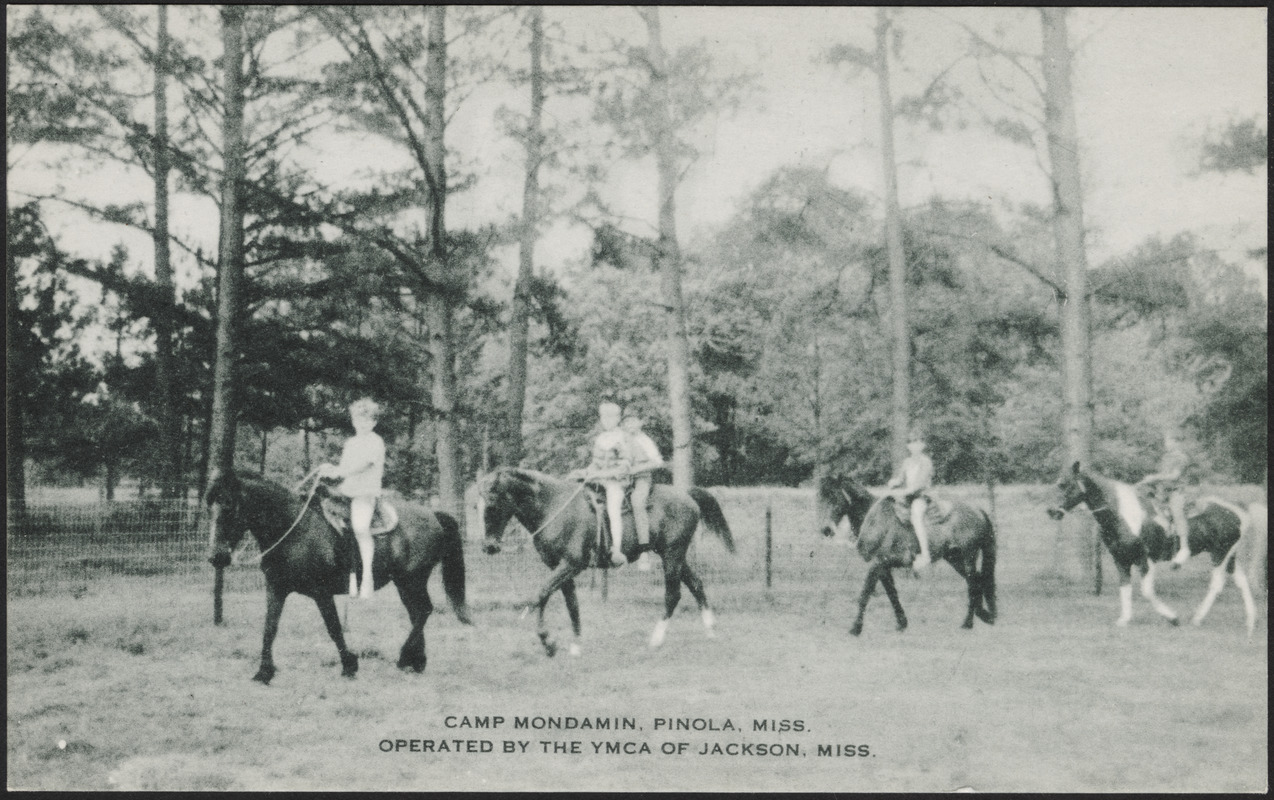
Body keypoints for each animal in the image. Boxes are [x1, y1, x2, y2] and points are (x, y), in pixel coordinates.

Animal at [206, 471, 471, 682]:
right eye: (211, 508)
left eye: (228, 506)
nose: (216, 557)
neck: (294, 530)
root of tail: (433, 515)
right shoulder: (276, 588)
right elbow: (270, 628)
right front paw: (263, 672)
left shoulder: (321, 593)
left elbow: (333, 627)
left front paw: (349, 666)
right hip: (404, 583)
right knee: (416, 613)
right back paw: (417, 661)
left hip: (412, 580)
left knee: (424, 611)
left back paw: (405, 658)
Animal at [479, 468, 738, 657]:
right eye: (477, 506)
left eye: (491, 505)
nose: (489, 546)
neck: (553, 506)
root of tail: (686, 495)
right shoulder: (559, 567)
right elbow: (570, 603)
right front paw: (575, 644)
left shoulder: (571, 564)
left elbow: (541, 593)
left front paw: (548, 642)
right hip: (676, 556)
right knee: (696, 584)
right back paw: (710, 629)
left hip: (672, 556)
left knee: (673, 595)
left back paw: (656, 639)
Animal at [815, 473, 993, 636]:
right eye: (819, 499)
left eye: (834, 498)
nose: (826, 529)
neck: (875, 520)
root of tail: (978, 511)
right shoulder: (883, 567)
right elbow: (892, 593)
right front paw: (902, 622)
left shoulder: (878, 564)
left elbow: (865, 593)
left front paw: (855, 628)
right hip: (955, 558)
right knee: (976, 580)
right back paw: (982, 614)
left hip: (968, 556)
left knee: (973, 583)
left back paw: (968, 622)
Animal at [1044, 463, 1263, 636]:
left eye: (1065, 484)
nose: (1051, 511)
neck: (1125, 515)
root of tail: (1237, 510)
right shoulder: (1121, 560)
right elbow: (1125, 589)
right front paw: (1124, 619)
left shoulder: (1145, 559)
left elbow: (1147, 591)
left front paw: (1173, 618)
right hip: (1230, 556)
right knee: (1241, 582)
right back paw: (1251, 621)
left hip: (1220, 554)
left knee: (1217, 584)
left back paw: (1198, 618)